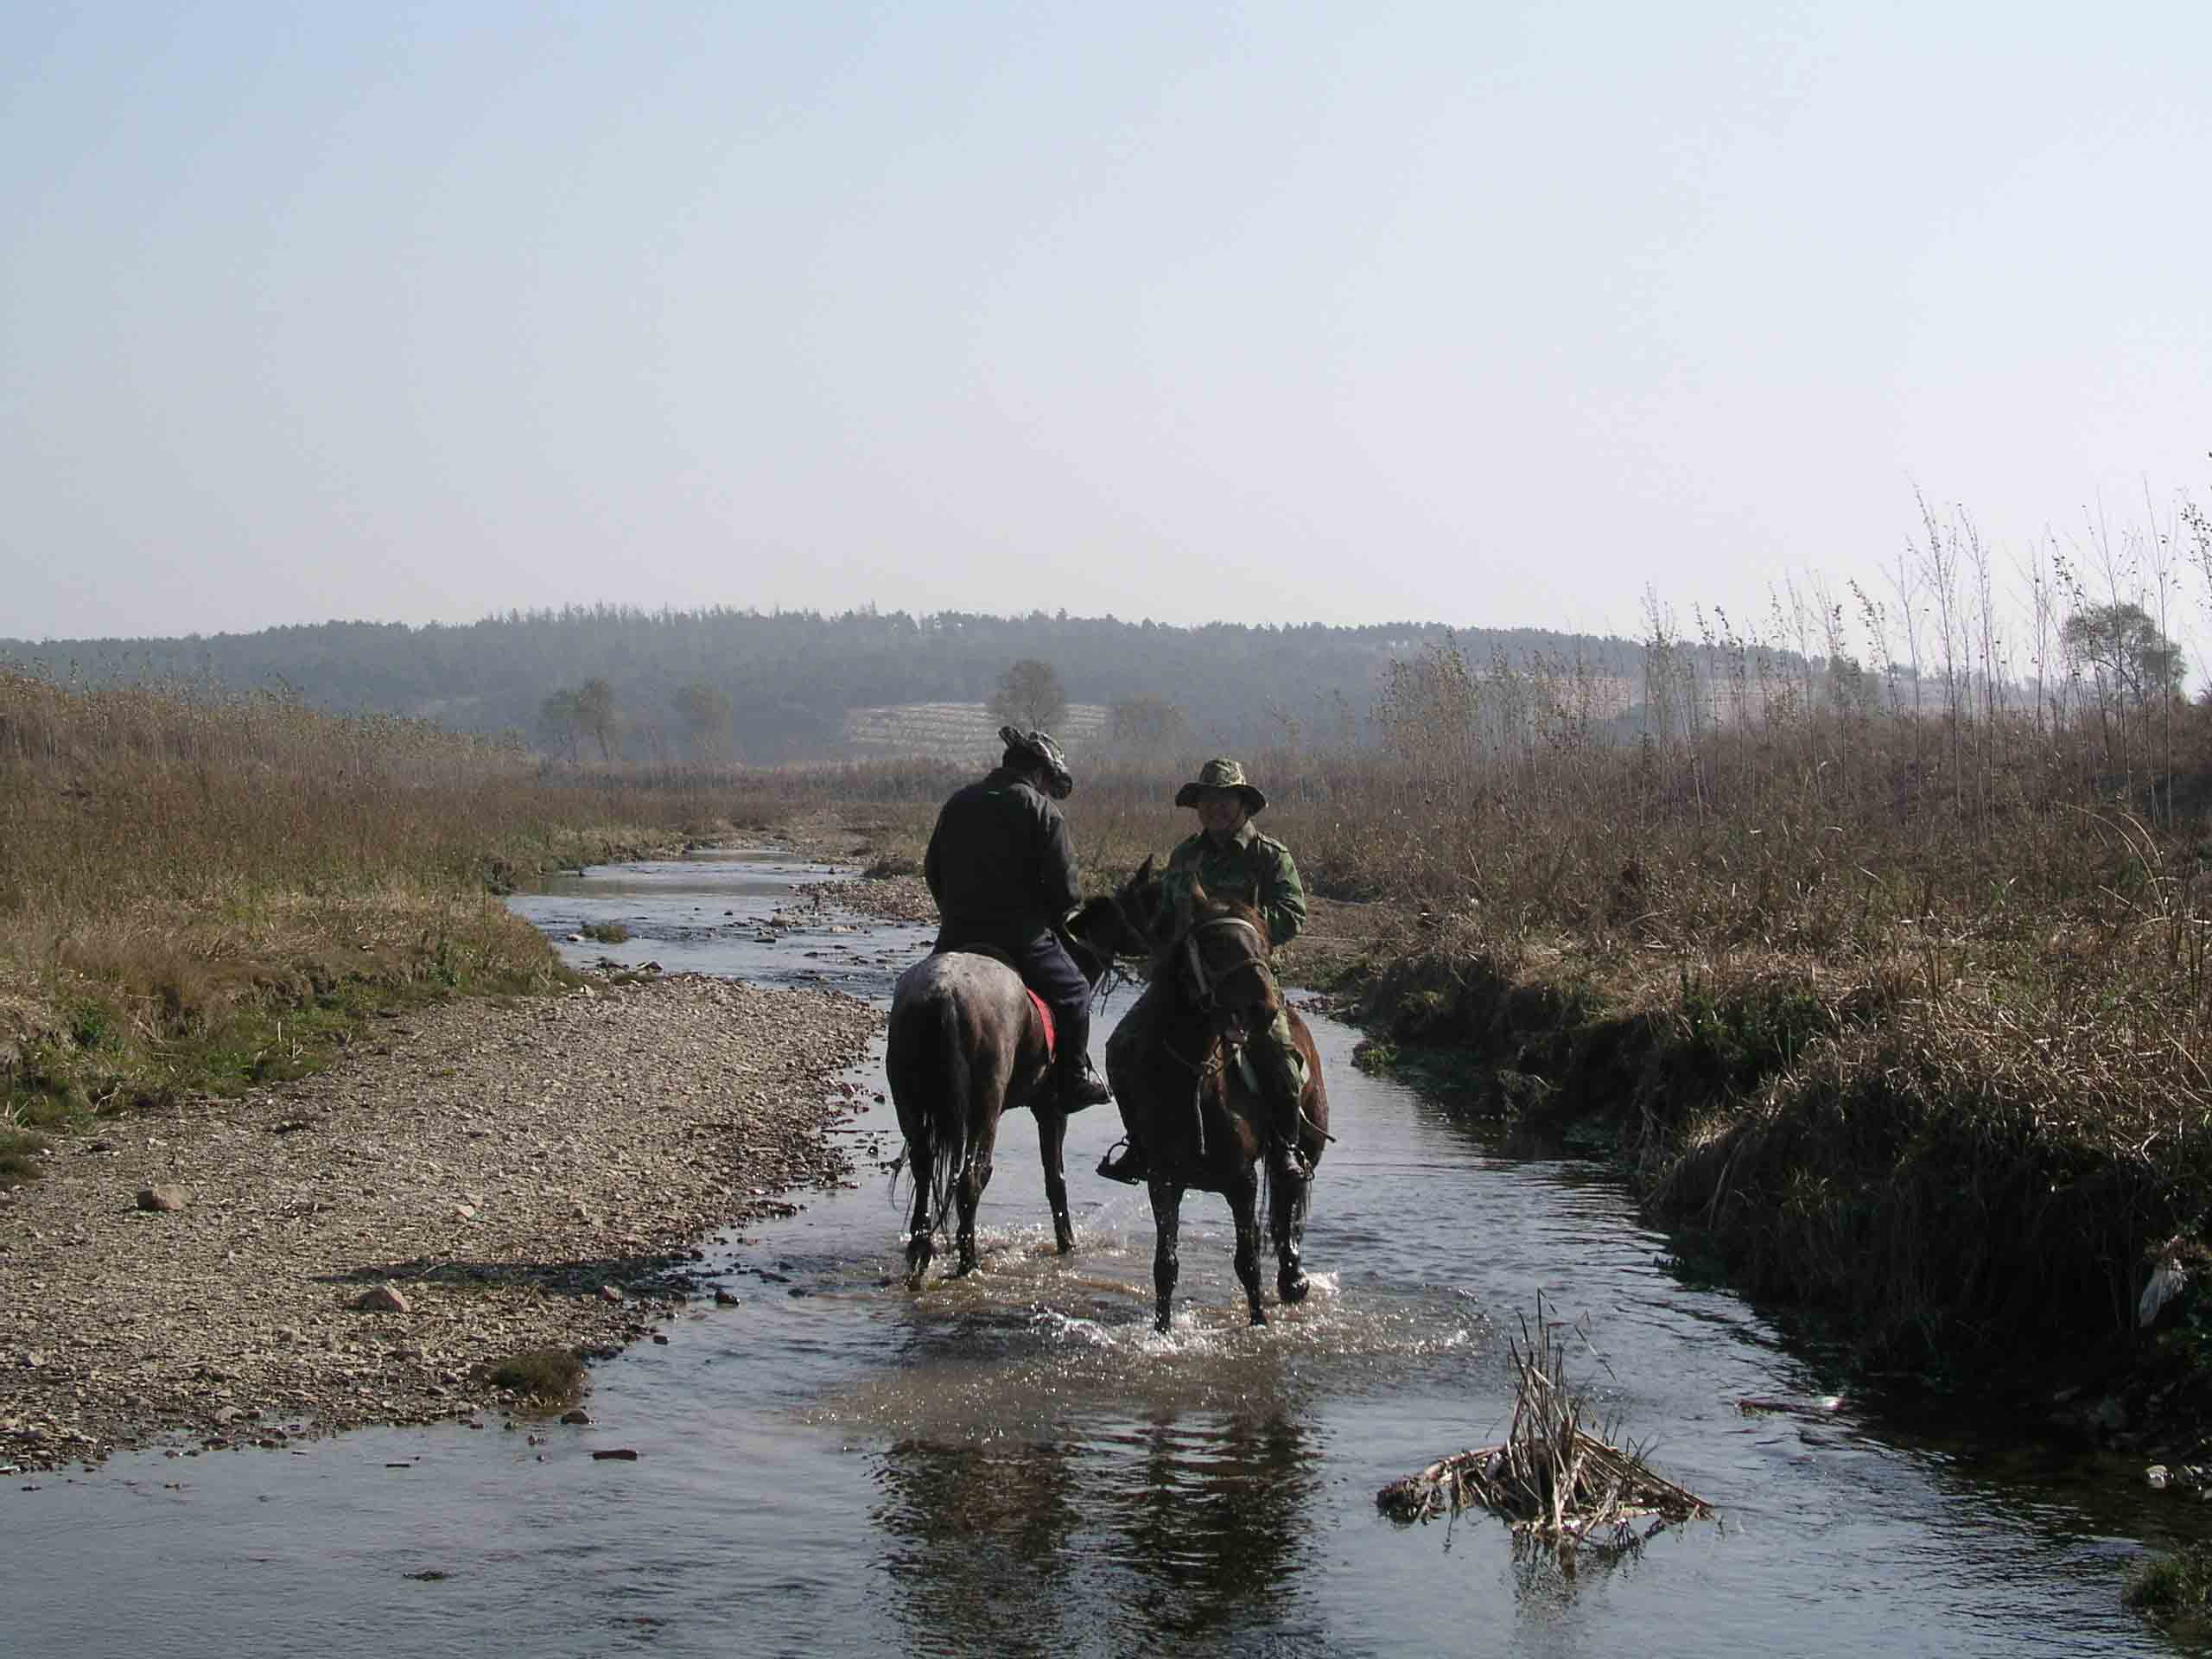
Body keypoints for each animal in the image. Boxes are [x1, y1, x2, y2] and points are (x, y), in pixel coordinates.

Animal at [889, 902, 1150, 1292]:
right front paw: (1067, 1245)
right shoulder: (1052, 1110)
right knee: (972, 1178)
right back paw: (968, 1262)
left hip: (909, 1106)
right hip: (984, 1109)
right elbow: (1055, 1180)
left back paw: (921, 1256)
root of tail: (945, 993)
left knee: (924, 1170)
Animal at [1106, 862, 1327, 1336]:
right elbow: (1165, 1265)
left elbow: (1248, 1263)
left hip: (1306, 1146)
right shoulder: (1163, 1180)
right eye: (1214, 946)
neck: (1194, 1077)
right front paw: (1162, 1331)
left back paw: (1294, 1279)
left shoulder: (1241, 1181)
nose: (1264, 1008)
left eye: (1263, 939)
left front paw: (1259, 1324)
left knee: (1291, 1197)